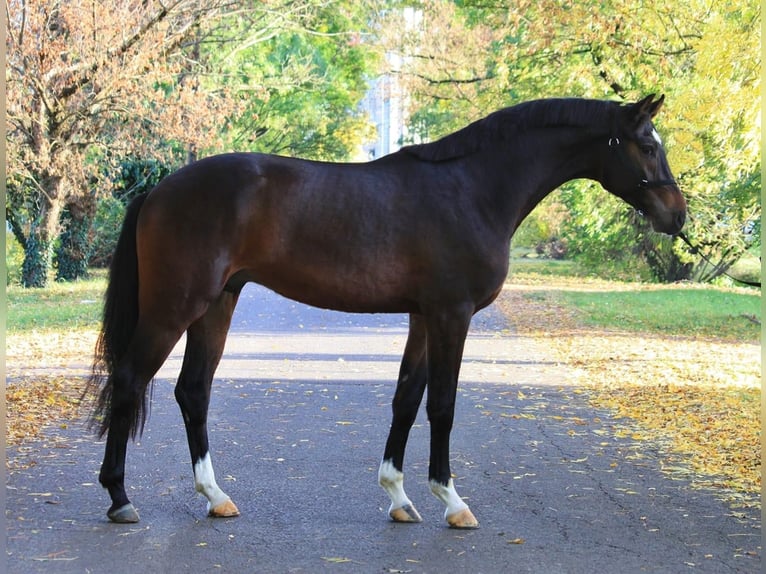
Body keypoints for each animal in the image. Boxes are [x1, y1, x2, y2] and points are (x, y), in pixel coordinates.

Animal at [90, 95, 688, 532]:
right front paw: (451, 501)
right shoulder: (452, 315)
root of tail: (158, 190)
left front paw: (398, 496)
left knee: (193, 391)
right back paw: (119, 496)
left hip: (217, 304)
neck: (472, 189)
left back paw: (215, 495)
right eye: (645, 145)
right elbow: (442, 405)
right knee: (129, 379)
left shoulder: (424, 317)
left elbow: (406, 399)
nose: (677, 216)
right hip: (175, 307)